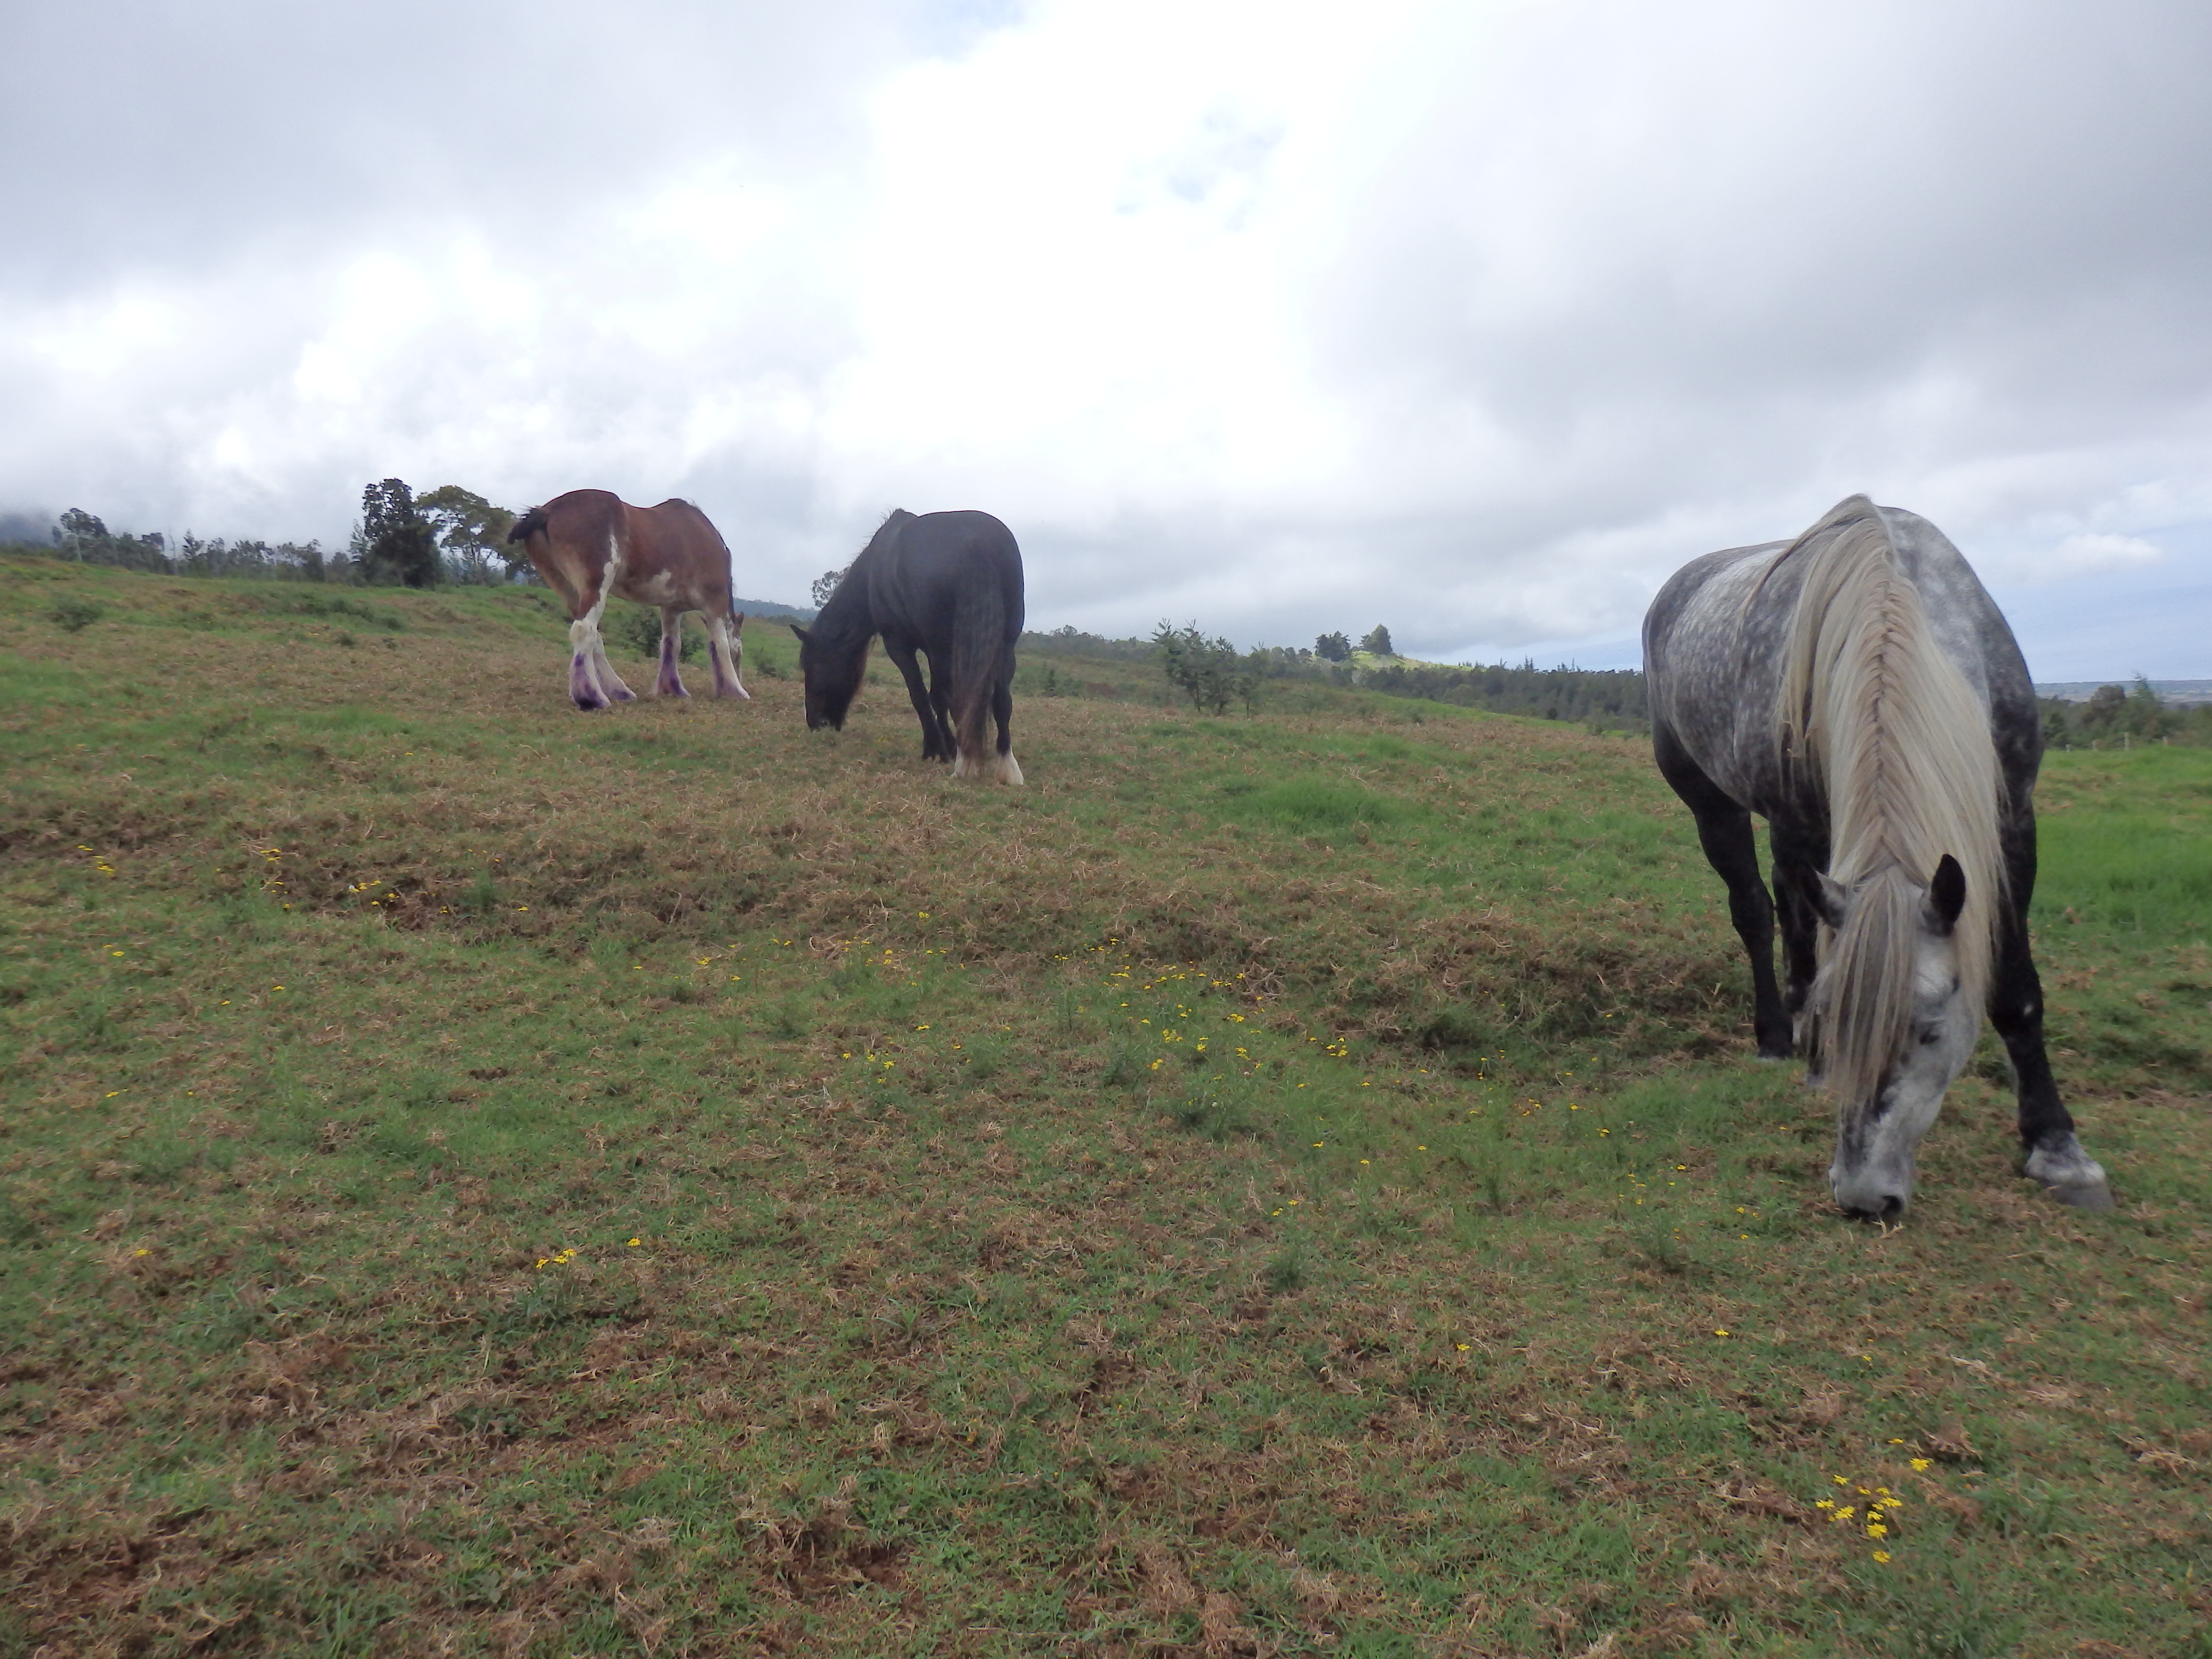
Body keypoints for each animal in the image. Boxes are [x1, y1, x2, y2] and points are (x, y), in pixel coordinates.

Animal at [506, 489, 749, 710]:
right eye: (739, 657)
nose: (739, 679)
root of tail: (547, 511)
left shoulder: (671, 609)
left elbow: (671, 644)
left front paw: (673, 689)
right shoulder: (715, 603)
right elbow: (722, 644)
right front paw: (737, 690)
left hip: (567, 589)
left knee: (594, 637)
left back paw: (619, 691)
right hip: (596, 586)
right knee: (585, 630)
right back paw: (593, 697)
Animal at [791, 509, 1025, 784]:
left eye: (813, 668)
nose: (815, 723)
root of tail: (977, 542)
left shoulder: (901, 646)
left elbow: (922, 697)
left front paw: (937, 749)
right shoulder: (933, 651)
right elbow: (937, 697)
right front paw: (948, 746)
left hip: (946, 648)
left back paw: (965, 762)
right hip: (1005, 644)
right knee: (1002, 700)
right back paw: (1006, 766)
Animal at [1642, 494, 2112, 1218]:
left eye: (1930, 1029)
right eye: (1842, 1021)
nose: (1865, 1195)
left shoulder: (2013, 825)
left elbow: (2017, 993)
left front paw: (2059, 1149)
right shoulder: (1800, 825)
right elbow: (1804, 941)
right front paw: (1811, 1050)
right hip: (1715, 805)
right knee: (1757, 910)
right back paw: (1776, 1035)